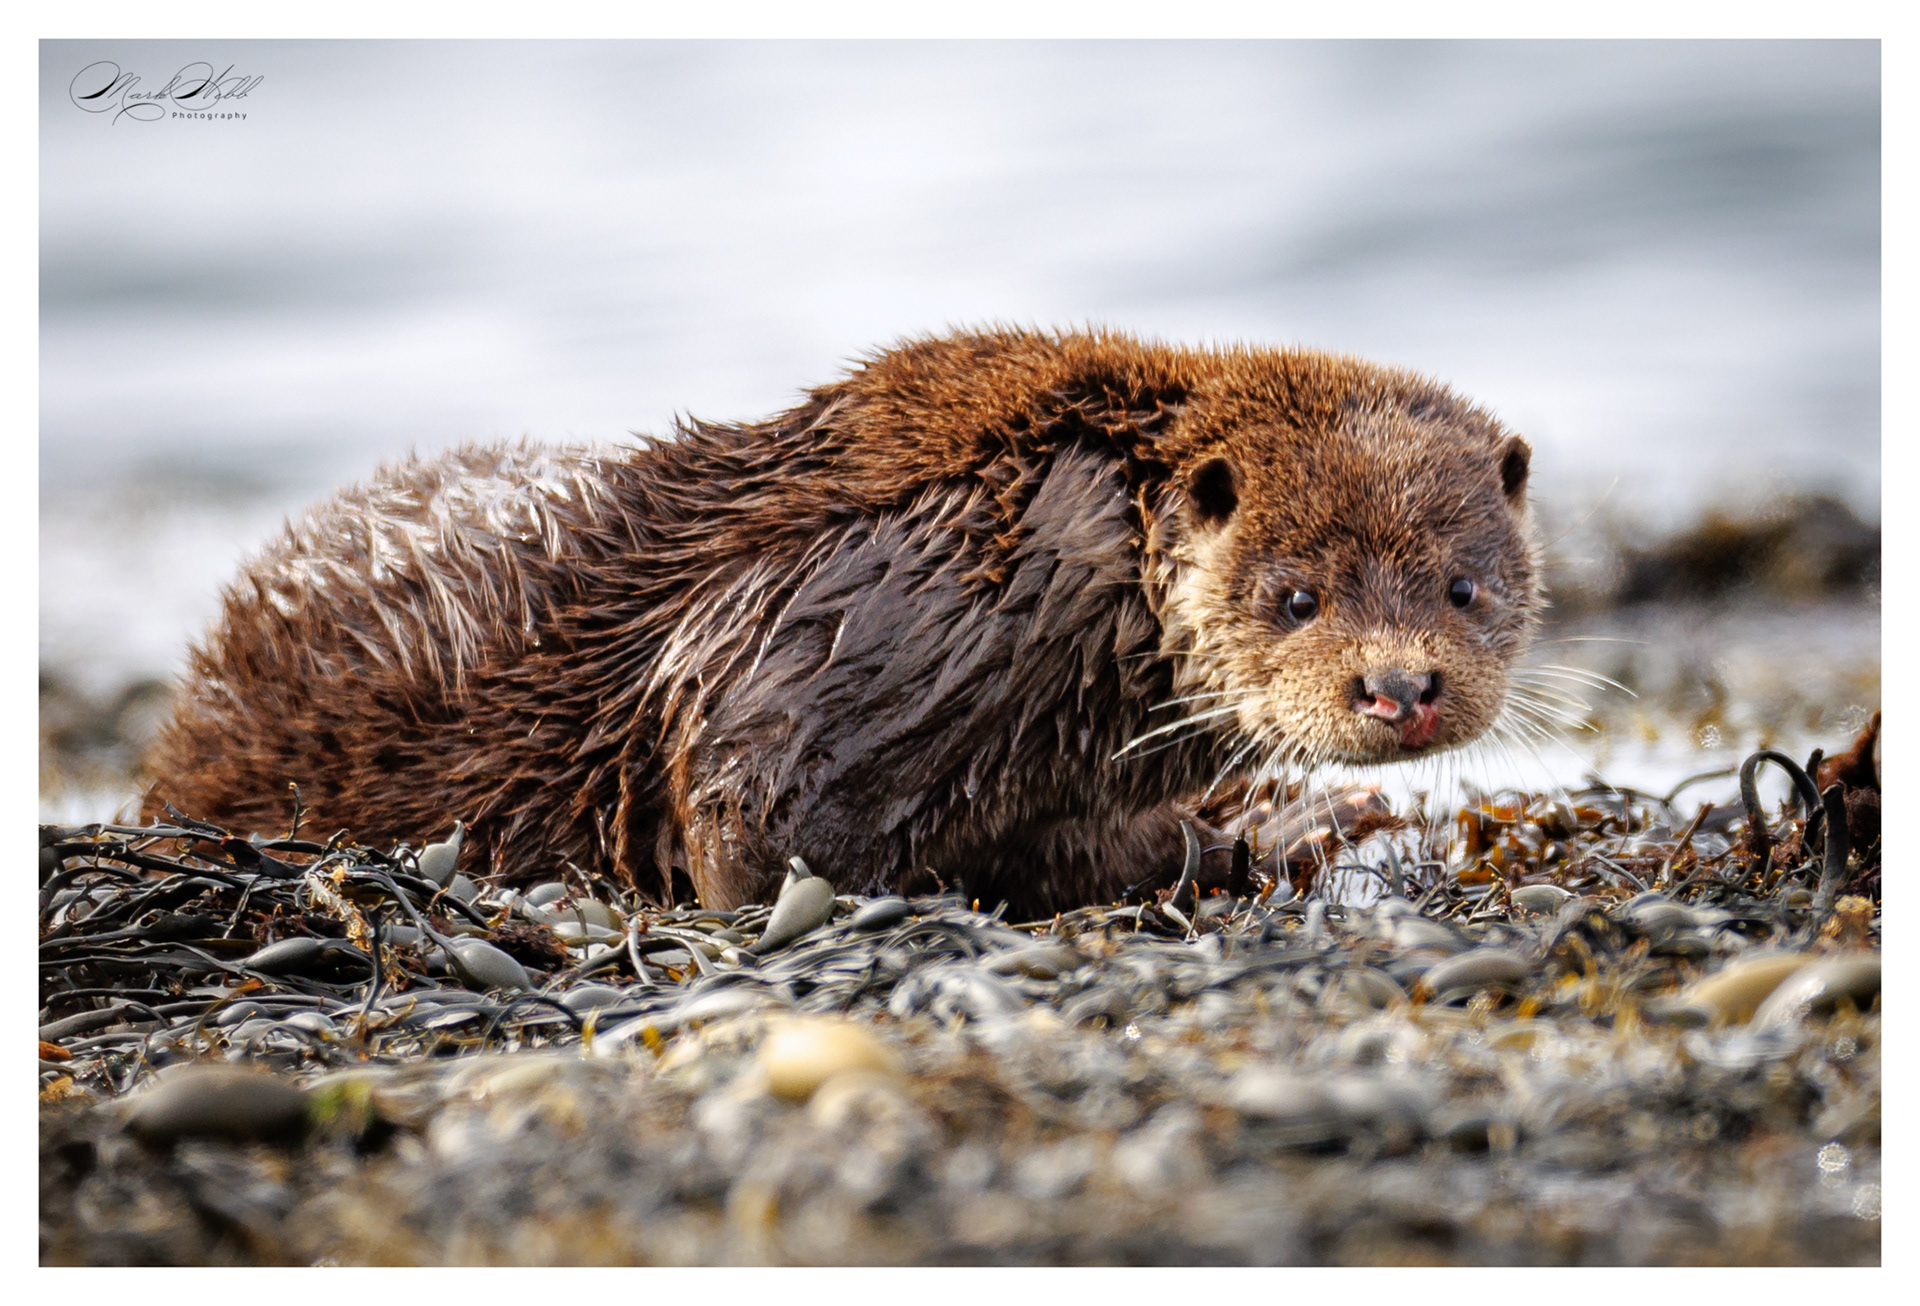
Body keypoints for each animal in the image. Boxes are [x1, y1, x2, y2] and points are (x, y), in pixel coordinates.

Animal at [143, 328, 1542, 915]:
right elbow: (766, 836)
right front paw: (1258, 835)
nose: (1400, 688)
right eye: (1292, 594)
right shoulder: (884, 630)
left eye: (1464, 587)